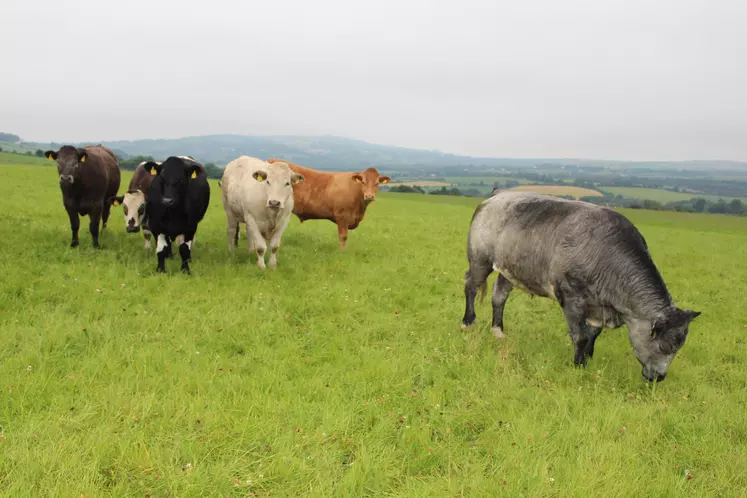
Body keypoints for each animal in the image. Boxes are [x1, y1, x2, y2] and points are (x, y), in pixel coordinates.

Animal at [264, 159, 392, 248]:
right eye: (363, 182)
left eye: (377, 183)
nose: (369, 196)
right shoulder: (342, 217)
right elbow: (343, 236)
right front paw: (342, 251)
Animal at [462, 191, 700, 382]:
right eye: (664, 346)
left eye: (680, 346)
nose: (659, 377)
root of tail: (496, 196)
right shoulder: (571, 298)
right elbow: (580, 335)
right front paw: (579, 364)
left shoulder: (598, 307)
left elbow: (593, 333)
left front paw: (588, 356)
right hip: (480, 259)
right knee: (471, 286)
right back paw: (468, 322)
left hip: (508, 270)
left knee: (499, 296)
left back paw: (498, 330)